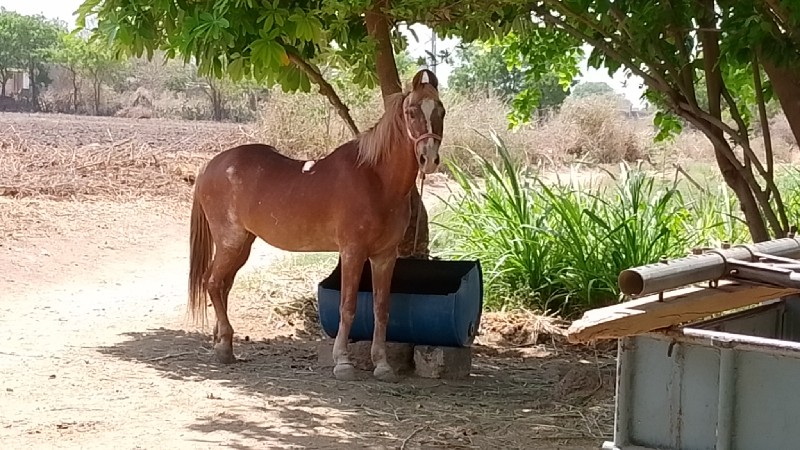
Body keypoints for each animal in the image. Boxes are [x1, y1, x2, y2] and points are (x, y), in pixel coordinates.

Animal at [190, 68, 446, 382]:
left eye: (441, 111)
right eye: (411, 112)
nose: (429, 159)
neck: (376, 179)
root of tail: (210, 165)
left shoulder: (384, 256)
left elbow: (381, 308)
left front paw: (382, 364)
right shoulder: (352, 252)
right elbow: (347, 306)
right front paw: (343, 362)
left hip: (242, 245)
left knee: (222, 286)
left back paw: (219, 341)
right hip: (231, 241)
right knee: (213, 283)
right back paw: (225, 346)